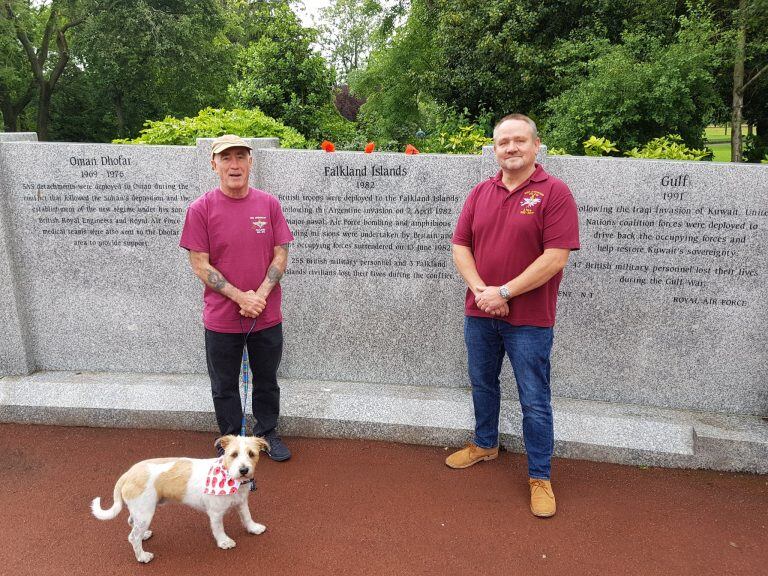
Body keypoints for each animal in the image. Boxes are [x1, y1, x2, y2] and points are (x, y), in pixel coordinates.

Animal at [91, 436, 270, 564]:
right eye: (233, 454)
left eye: (252, 454)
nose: (244, 470)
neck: (229, 478)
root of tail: (128, 473)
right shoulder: (215, 513)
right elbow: (219, 529)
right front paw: (224, 542)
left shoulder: (242, 503)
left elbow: (247, 517)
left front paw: (253, 528)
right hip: (145, 512)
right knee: (133, 536)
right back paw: (142, 556)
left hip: (140, 512)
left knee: (132, 526)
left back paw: (144, 536)